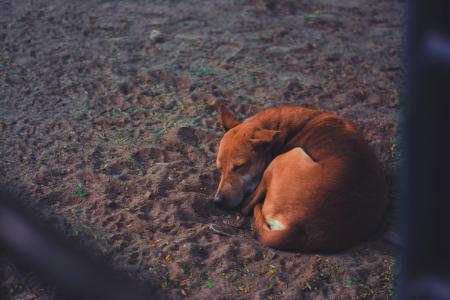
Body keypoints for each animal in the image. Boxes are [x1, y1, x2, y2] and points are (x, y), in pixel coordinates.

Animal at [214, 104, 386, 252]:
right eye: (219, 168)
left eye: (240, 166)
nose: (217, 201)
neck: (277, 125)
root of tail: (299, 229)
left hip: (287, 156)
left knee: (247, 206)